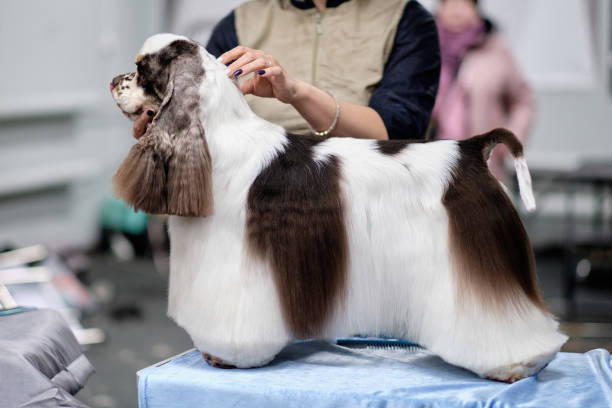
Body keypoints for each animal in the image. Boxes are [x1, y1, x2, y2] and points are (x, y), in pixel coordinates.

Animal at [112, 33, 568, 380]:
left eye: (142, 69)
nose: (115, 79)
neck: (216, 136)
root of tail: (471, 148)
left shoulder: (238, 262)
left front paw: (229, 356)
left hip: (477, 255)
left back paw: (515, 364)